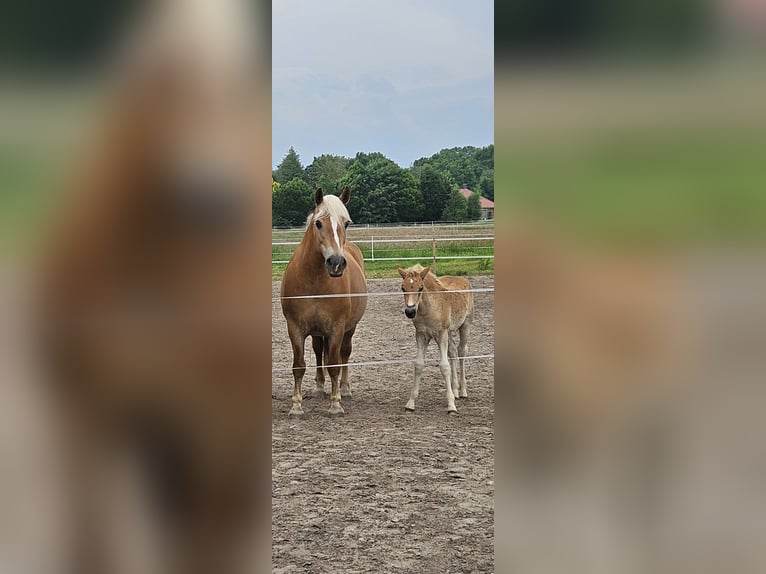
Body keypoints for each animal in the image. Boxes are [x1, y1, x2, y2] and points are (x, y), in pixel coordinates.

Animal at [39, 2, 272, 572]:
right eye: (161, 76)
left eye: (243, 78)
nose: (217, 203)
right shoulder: (83, 417)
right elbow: (88, 547)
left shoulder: (217, 423)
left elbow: (205, 550)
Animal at [280, 189, 368, 418]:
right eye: (318, 223)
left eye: (346, 223)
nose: (336, 263)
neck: (315, 280)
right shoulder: (295, 328)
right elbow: (299, 365)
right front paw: (296, 406)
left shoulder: (336, 328)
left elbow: (335, 364)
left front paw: (335, 404)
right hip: (317, 332)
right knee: (319, 352)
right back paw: (320, 387)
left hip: (349, 329)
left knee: (345, 353)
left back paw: (344, 389)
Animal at [400, 266, 476, 414]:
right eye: (403, 288)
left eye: (420, 288)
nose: (410, 312)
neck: (428, 309)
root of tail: (463, 279)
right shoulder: (422, 335)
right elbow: (418, 365)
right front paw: (410, 403)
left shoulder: (441, 334)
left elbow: (444, 366)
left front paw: (451, 406)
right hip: (449, 332)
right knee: (453, 352)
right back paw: (455, 391)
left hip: (465, 325)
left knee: (461, 351)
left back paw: (463, 391)